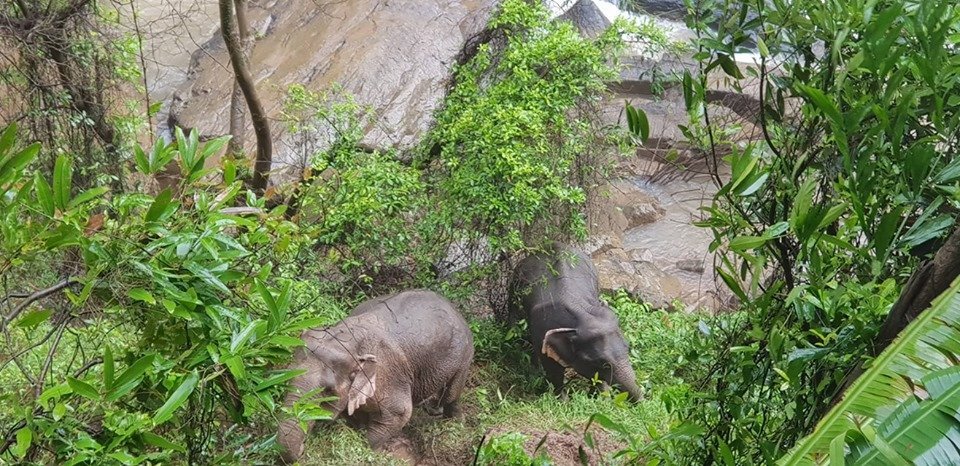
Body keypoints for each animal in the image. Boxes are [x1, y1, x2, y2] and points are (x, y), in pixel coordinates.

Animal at [276, 289, 474, 464]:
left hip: (465, 355)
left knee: (452, 394)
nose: (303, 449)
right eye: (287, 378)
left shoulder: (389, 376)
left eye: (327, 390)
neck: (346, 340)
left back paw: (454, 422)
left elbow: (400, 413)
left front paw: (376, 452)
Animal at [508, 242, 643, 401]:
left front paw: (597, 398)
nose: (642, 401)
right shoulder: (541, 332)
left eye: (628, 348)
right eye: (602, 363)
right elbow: (553, 371)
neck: (580, 314)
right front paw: (563, 401)